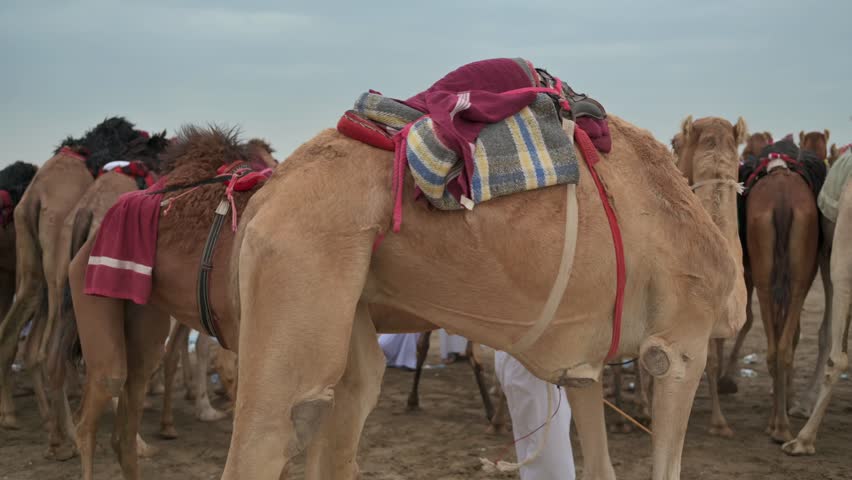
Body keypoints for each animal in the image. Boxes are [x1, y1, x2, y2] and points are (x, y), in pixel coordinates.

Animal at [218, 110, 744, 480]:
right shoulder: (678, 346)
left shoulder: (584, 367)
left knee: (346, 403)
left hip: (348, 304)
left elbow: (600, 466)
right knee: (270, 434)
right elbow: (666, 464)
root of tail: (265, 195)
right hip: (297, 263)